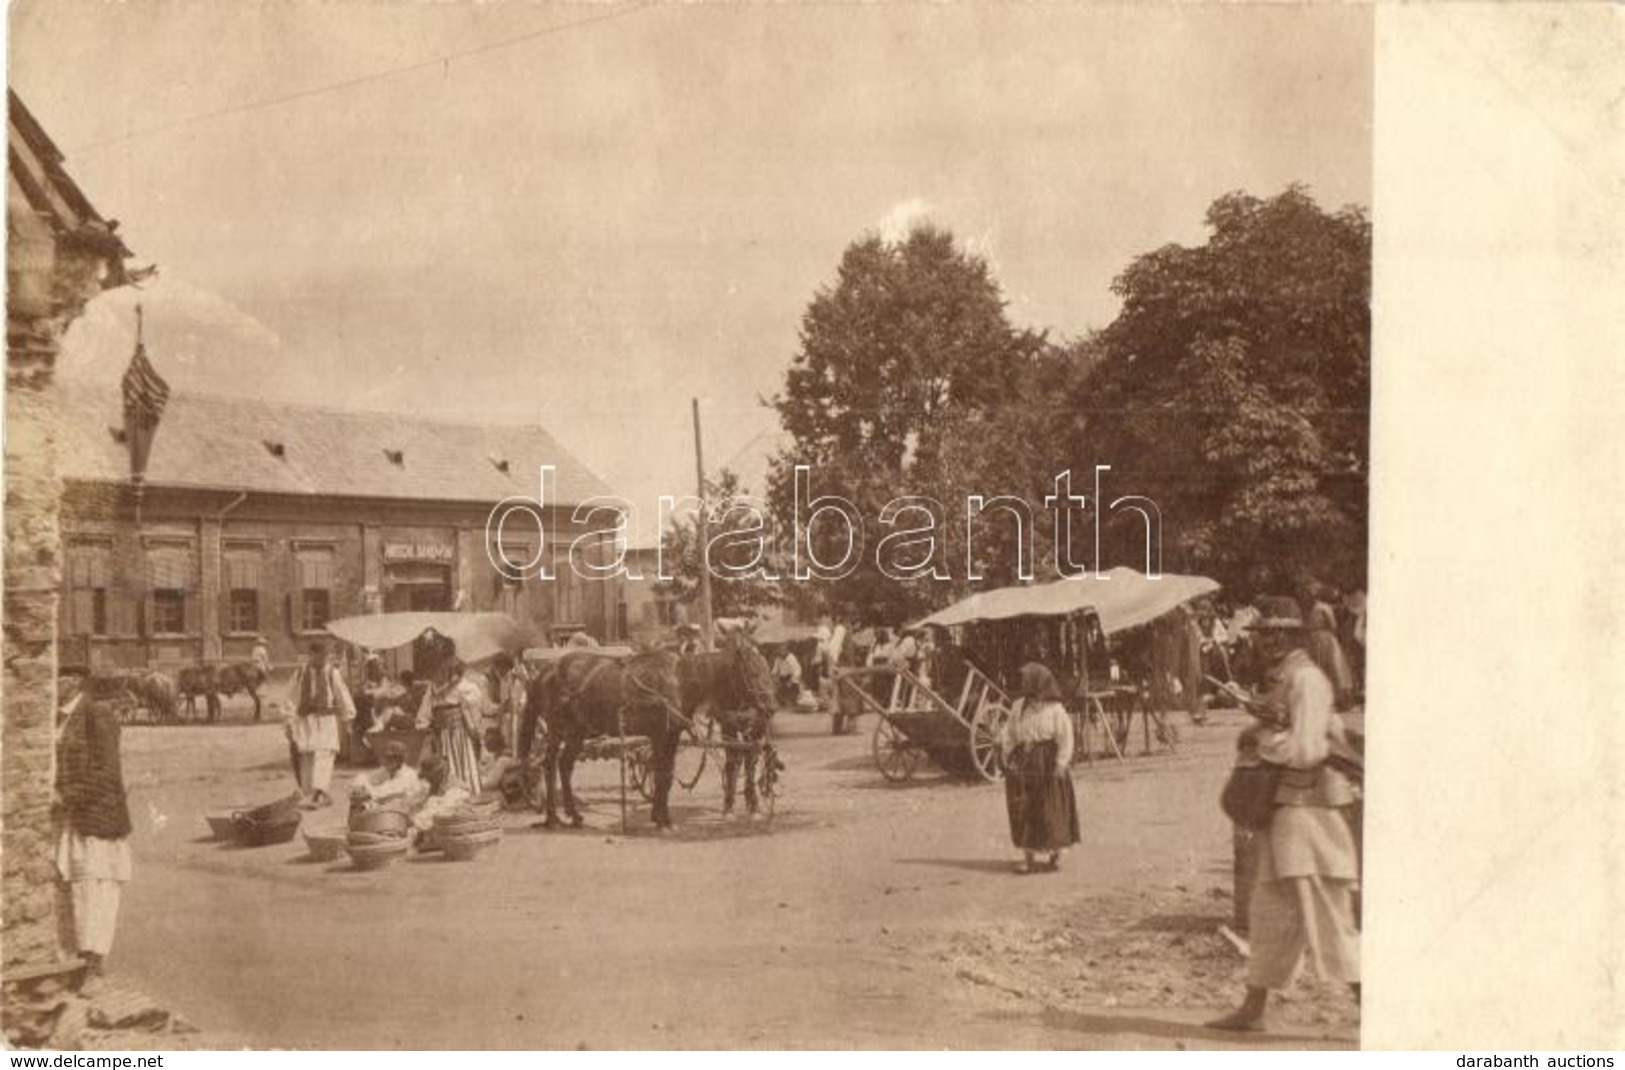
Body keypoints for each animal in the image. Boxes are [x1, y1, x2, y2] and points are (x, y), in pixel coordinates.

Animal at [520, 647, 685, 829]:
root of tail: (548, 669)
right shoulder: (661, 735)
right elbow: (663, 775)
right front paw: (662, 820)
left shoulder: (669, 736)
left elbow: (665, 775)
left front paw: (661, 817)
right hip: (557, 731)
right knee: (550, 765)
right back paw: (552, 818)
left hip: (575, 734)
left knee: (564, 765)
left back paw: (573, 815)